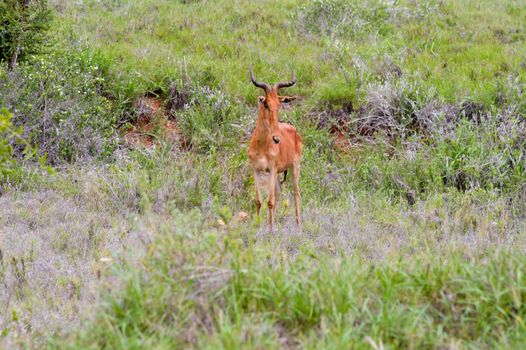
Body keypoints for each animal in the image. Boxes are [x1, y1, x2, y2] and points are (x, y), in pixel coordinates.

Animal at [246, 66, 302, 228]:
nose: (276, 138)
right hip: (277, 174)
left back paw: (299, 226)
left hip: (295, 167)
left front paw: (270, 229)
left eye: (279, 105)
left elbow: (269, 202)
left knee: (296, 193)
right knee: (278, 192)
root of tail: (294, 130)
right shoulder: (256, 170)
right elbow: (259, 201)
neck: (262, 147)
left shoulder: (271, 169)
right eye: (266, 104)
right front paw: (259, 226)